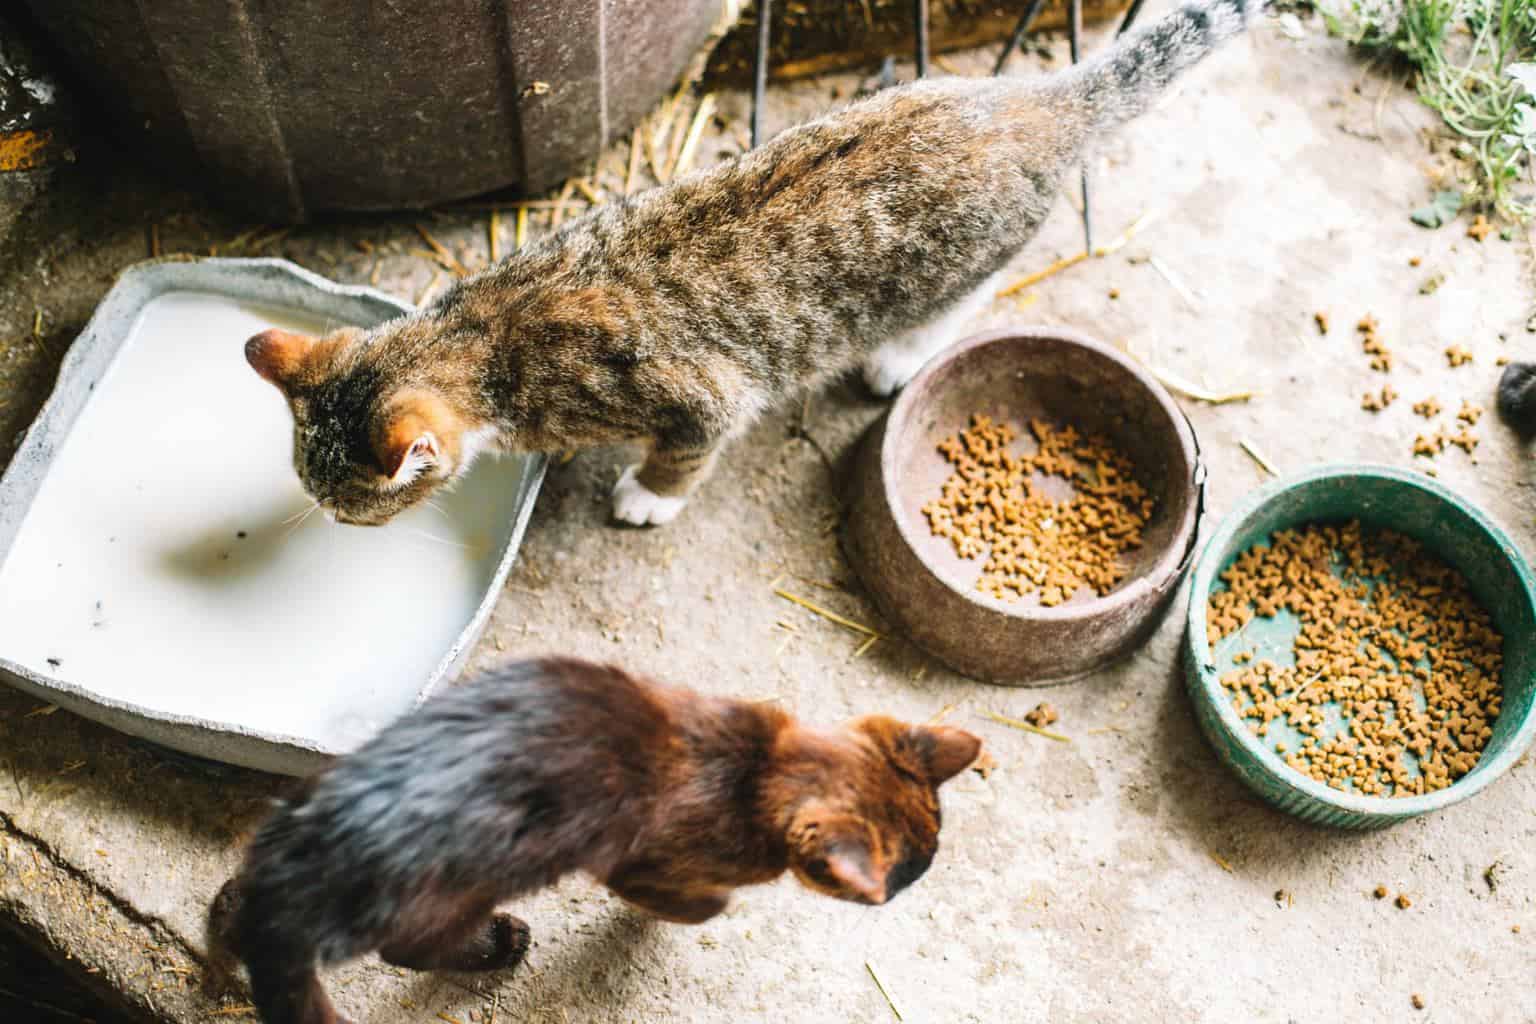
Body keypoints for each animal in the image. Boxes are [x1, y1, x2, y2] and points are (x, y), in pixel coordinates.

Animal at [204, 657, 976, 1024]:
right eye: (903, 878)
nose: (900, 896)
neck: (758, 764)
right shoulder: (643, 865)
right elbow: (705, 904)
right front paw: (690, 912)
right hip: (451, 893)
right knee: (410, 950)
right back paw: (500, 944)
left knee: (235, 902)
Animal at [248, 0, 1259, 528]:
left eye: (347, 506)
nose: (331, 521)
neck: (486, 328)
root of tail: (1040, 101)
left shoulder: (701, 398)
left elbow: (687, 452)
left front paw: (647, 497)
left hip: (967, 262)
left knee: (960, 302)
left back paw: (896, 357)